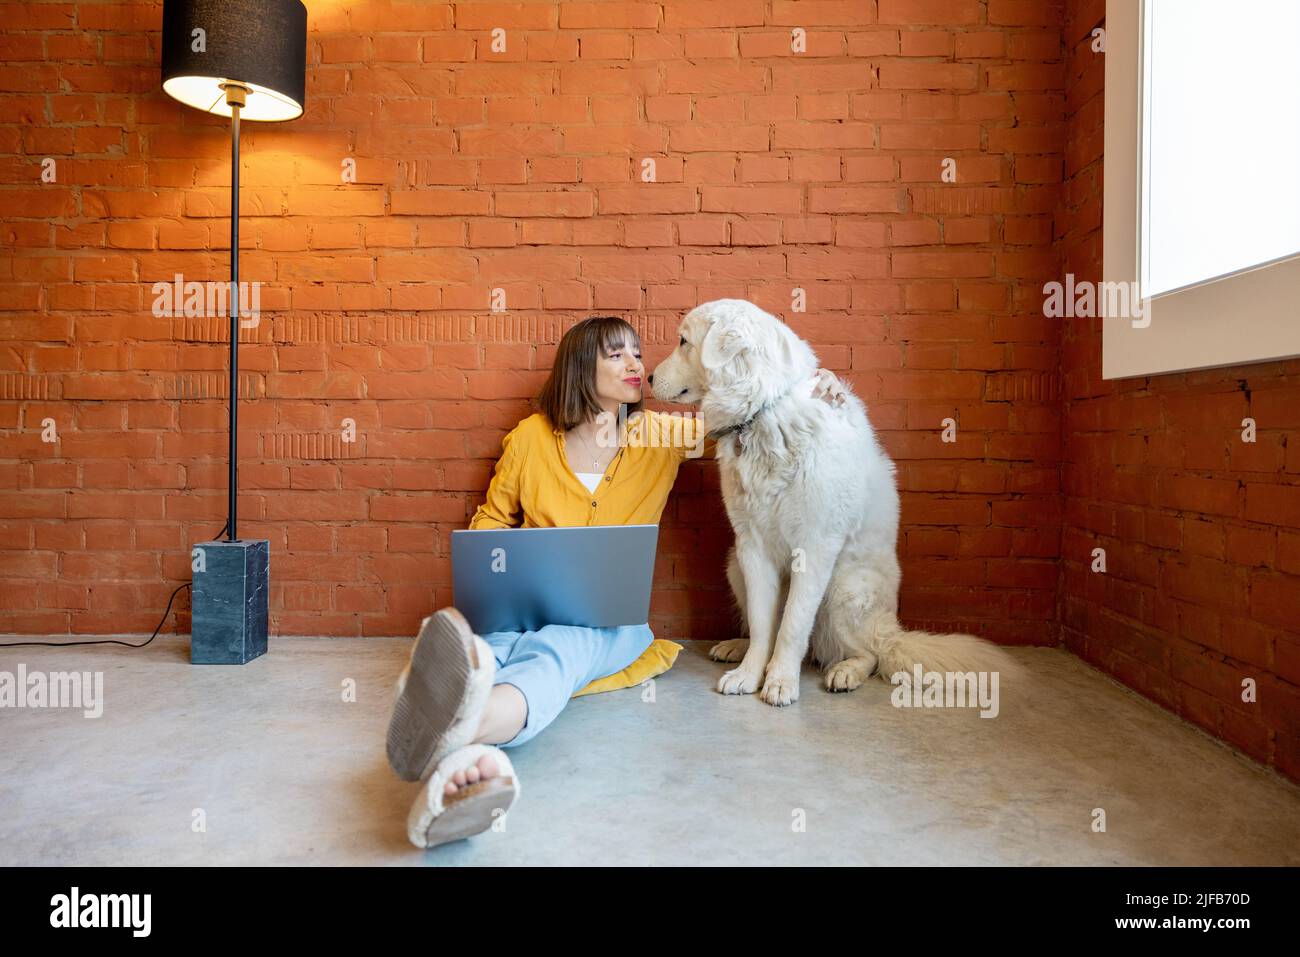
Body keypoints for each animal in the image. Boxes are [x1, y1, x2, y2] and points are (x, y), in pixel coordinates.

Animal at [655, 300, 1008, 712]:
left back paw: (845, 673)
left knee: (871, 653)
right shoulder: (751, 547)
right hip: (734, 567)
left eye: (683, 341)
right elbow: (762, 624)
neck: (764, 412)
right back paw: (737, 648)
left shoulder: (816, 546)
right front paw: (749, 674)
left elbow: (792, 626)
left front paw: (780, 682)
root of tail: (892, 629)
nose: (648, 377)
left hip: (844, 587)